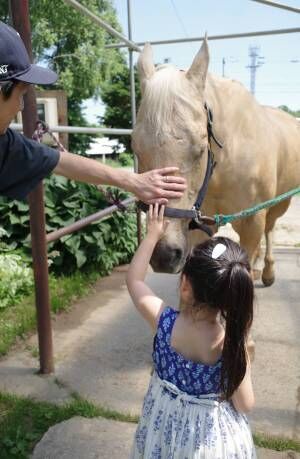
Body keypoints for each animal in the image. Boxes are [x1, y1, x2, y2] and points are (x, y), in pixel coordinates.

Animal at [132, 38, 300, 288]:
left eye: (200, 150)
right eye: (136, 149)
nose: (164, 255)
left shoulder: (252, 221)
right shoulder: (199, 222)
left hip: (279, 203)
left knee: (270, 229)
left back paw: (268, 271)